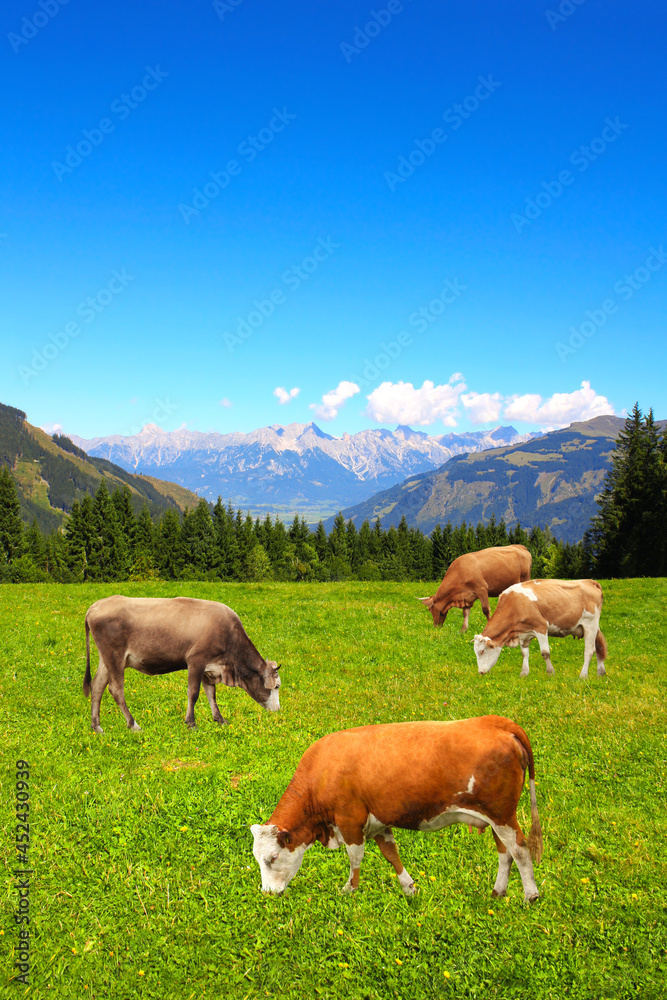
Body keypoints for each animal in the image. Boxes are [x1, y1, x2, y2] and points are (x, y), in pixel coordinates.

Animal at [83, 592, 282, 736]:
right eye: (277, 686)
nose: (278, 709)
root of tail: (96, 605)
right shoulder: (196, 660)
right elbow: (193, 693)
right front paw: (191, 723)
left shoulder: (209, 668)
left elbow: (211, 694)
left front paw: (219, 719)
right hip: (114, 656)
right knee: (116, 690)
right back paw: (133, 725)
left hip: (106, 659)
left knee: (97, 686)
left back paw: (97, 726)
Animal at [250, 716, 544, 904]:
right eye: (257, 859)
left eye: (272, 858)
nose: (267, 893)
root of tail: (495, 722)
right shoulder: (379, 823)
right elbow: (392, 855)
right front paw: (409, 888)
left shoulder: (349, 820)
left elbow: (355, 859)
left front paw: (349, 889)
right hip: (496, 818)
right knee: (505, 853)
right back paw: (498, 892)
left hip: (501, 814)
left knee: (520, 849)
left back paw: (530, 896)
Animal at [472, 580, 608, 680]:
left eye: (482, 651)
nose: (481, 672)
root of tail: (589, 581)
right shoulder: (524, 634)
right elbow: (524, 653)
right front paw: (524, 673)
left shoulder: (541, 627)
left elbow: (545, 652)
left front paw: (550, 672)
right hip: (594, 627)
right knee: (599, 647)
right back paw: (601, 672)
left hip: (590, 624)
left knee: (589, 650)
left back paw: (583, 675)